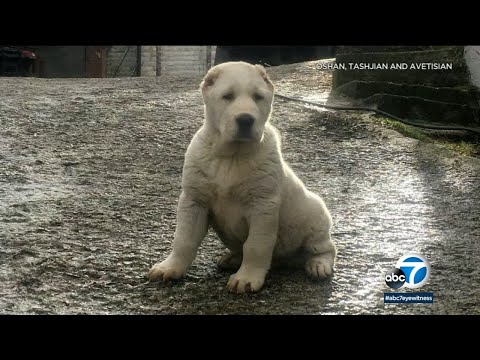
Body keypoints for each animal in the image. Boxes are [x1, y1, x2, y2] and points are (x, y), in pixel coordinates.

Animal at [148, 61, 336, 292]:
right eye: (227, 96)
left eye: (258, 97)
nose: (246, 119)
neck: (232, 157)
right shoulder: (194, 201)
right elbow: (184, 239)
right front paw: (171, 267)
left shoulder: (262, 206)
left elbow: (256, 245)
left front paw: (247, 277)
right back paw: (232, 258)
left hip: (315, 216)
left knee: (326, 248)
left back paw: (318, 265)